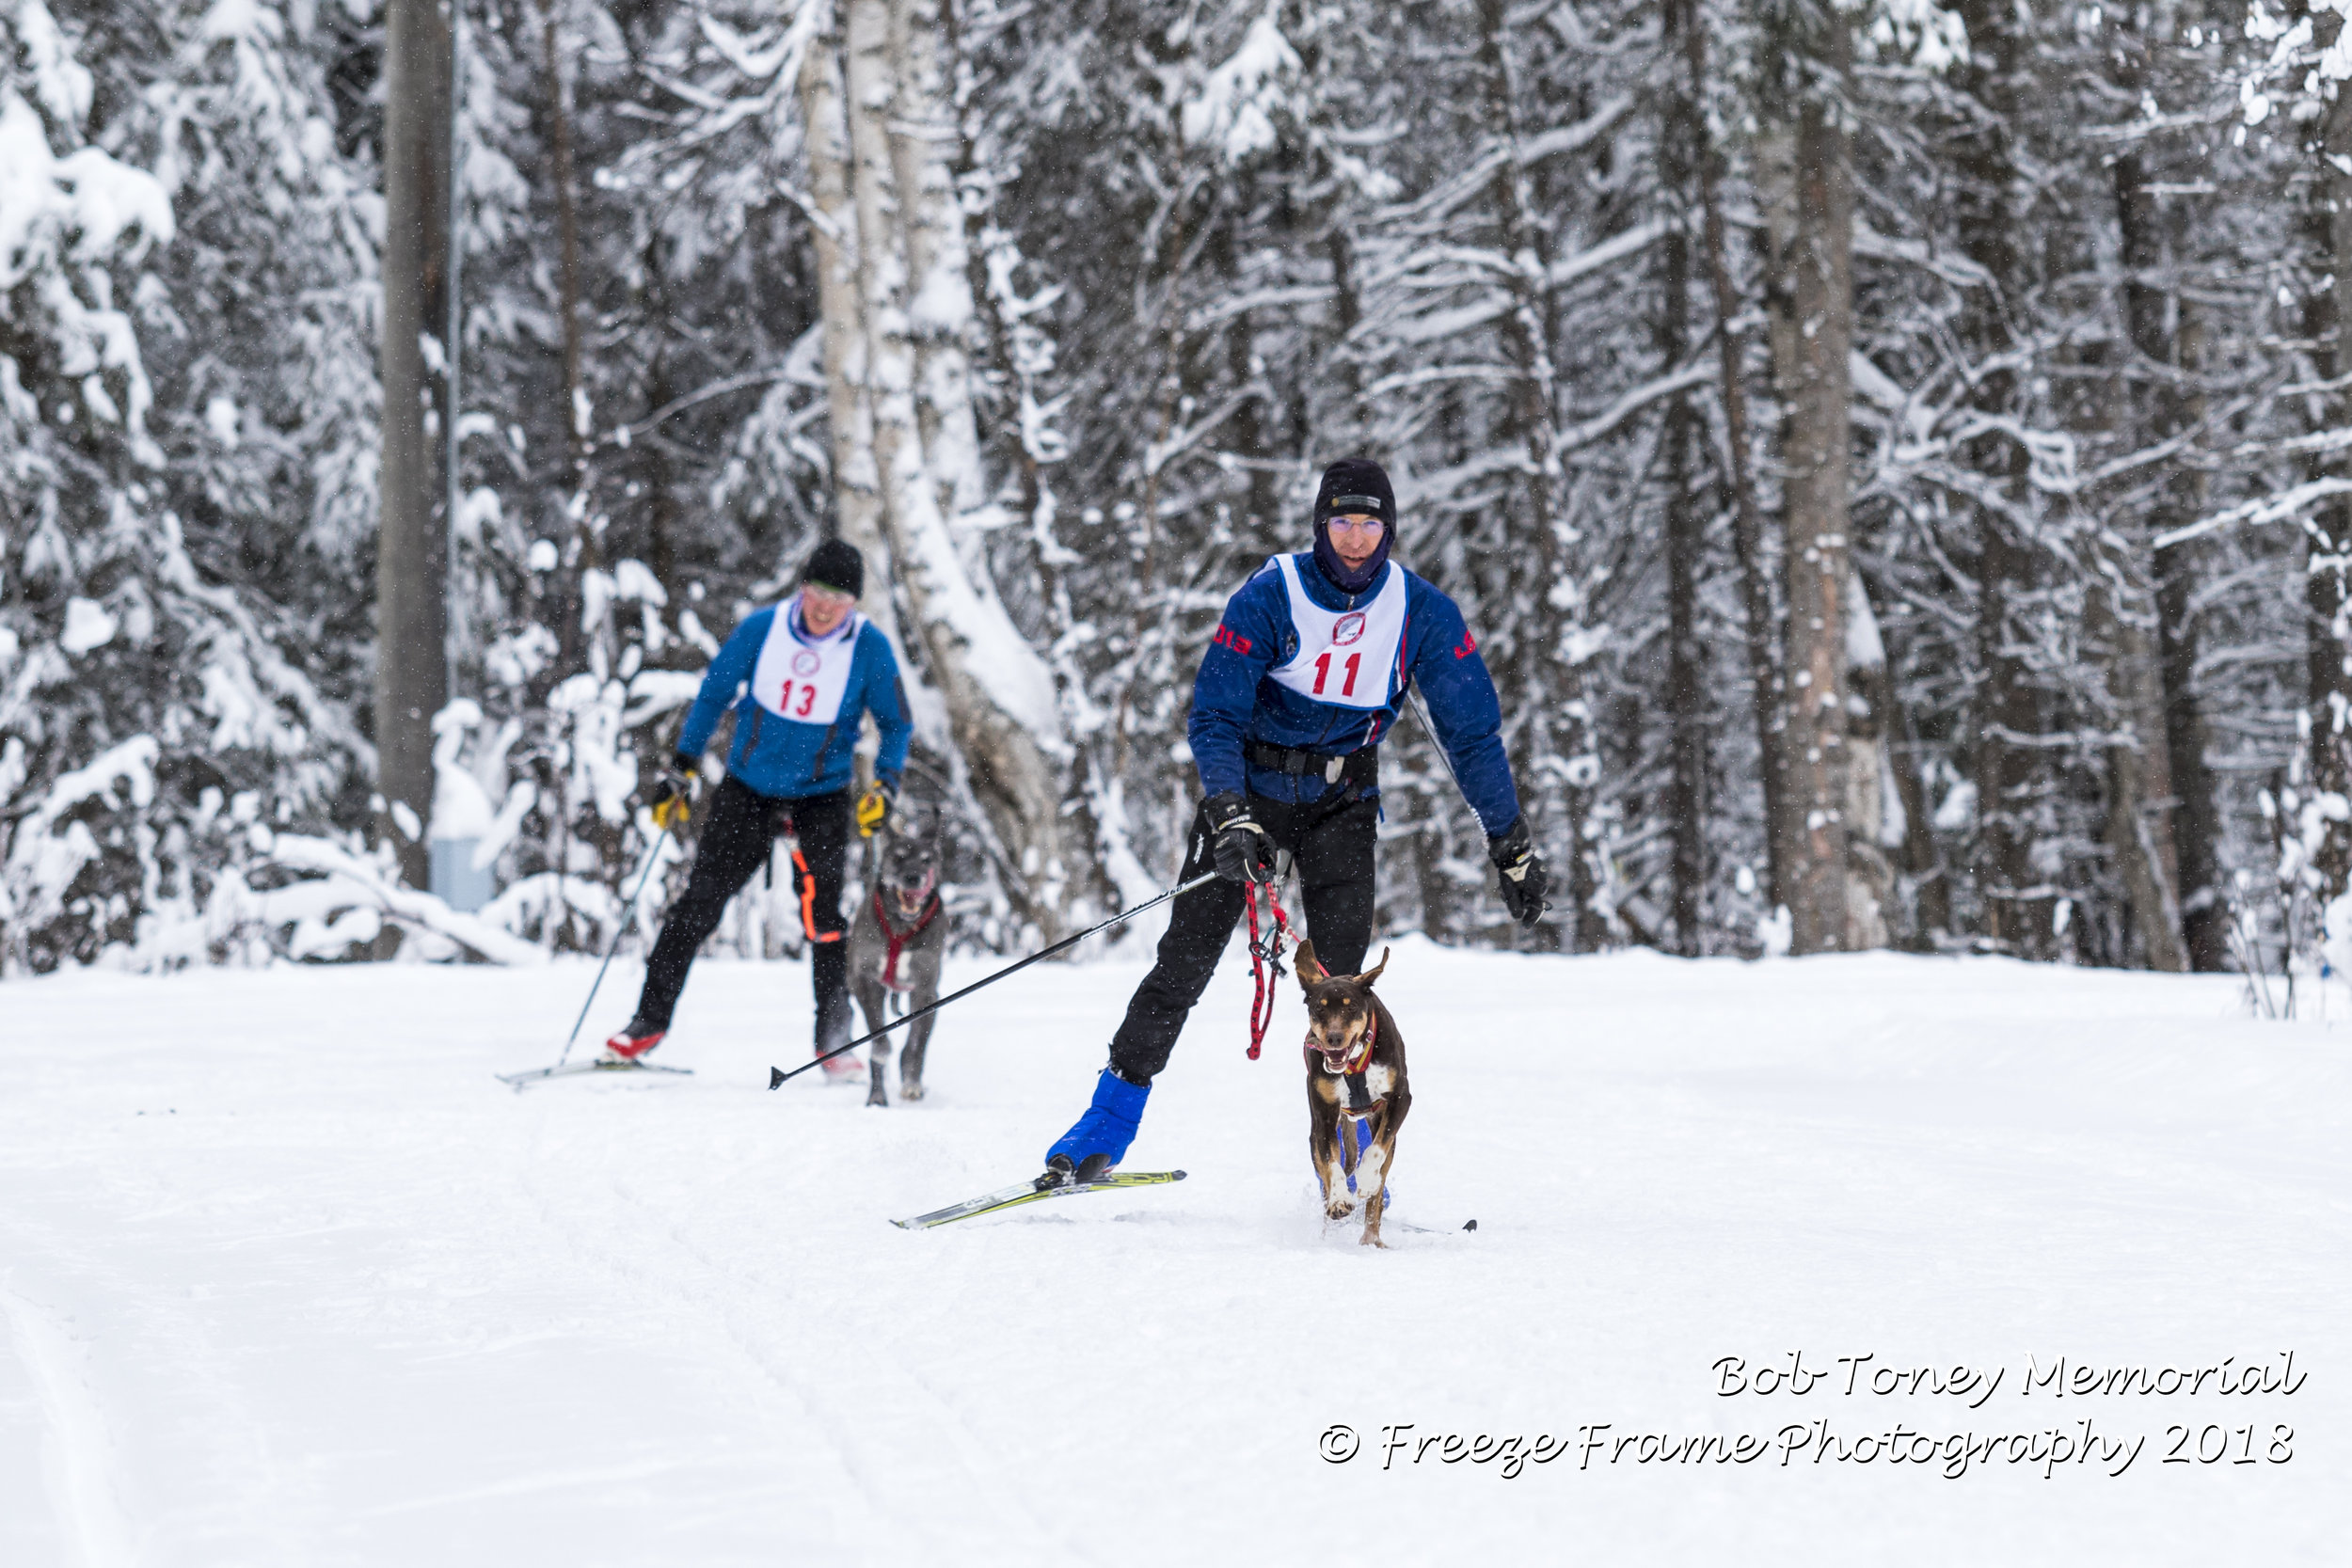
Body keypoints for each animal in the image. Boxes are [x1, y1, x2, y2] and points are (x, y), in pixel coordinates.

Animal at [851, 808, 950, 1104]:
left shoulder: (926, 991)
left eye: (927, 859)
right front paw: (881, 1054)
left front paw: (912, 1083)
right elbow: (878, 1036)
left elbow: (916, 1046)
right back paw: (876, 1096)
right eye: (897, 857)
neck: (901, 928)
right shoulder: (865, 981)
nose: (913, 878)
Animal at [1298, 944, 1402, 1250]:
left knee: (1377, 1191)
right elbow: (1331, 1166)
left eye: (1351, 1007)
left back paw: (1371, 1238)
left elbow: (1376, 1150)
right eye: (1318, 1008)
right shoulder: (1324, 1116)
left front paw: (1365, 1180)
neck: (1354, 1065)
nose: (1333, 1038)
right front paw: (1339, 1200)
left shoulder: (1400, 1098)